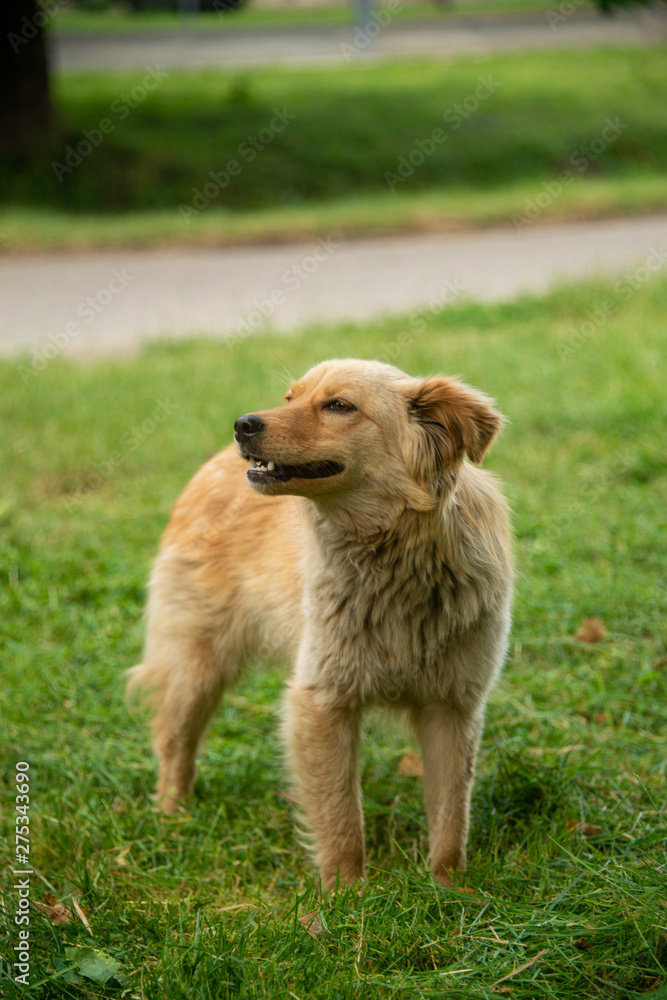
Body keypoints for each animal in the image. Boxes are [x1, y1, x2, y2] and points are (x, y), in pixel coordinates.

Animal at [128, 360, 516, 892]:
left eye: (339, 405)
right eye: (289, 398)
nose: (242, 425)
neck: (396, 558)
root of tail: (212, 464)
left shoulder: (452, 708)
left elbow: (450, 815)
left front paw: (448, 890)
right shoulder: (322, 701)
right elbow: (340, 817)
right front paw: (346, 897)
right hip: (196, 667)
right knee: (173, 740)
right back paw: (173, 818)